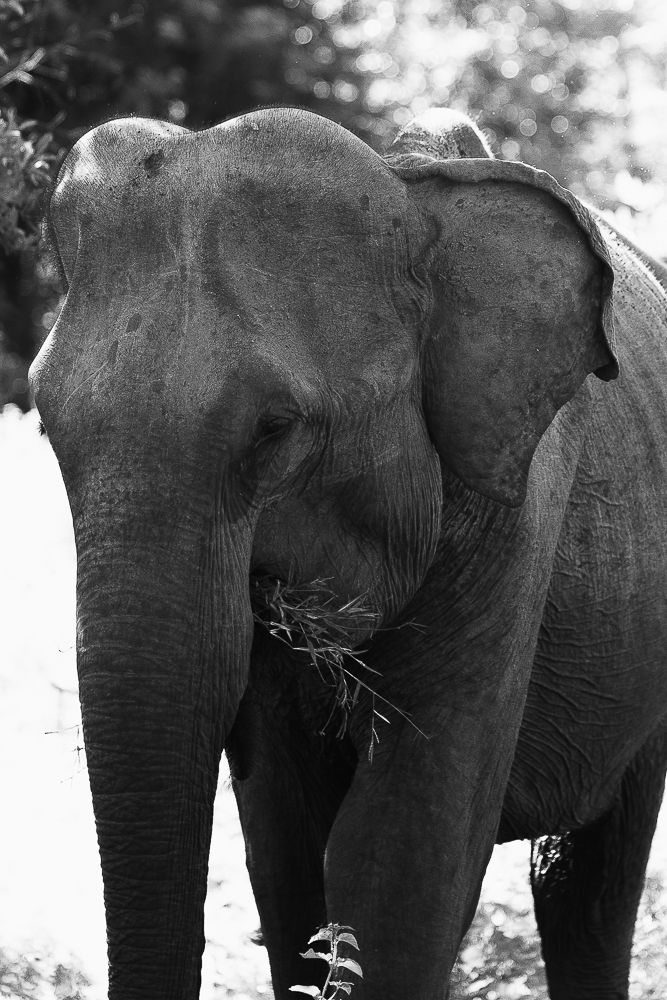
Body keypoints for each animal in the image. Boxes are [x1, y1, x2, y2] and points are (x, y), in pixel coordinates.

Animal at [30, 105, 667, 1000]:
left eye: (274, 430)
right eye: (45, 420)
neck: (414, 196)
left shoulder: (517, 511)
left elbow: (398, 844)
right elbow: (287, 835)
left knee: (593, 878)